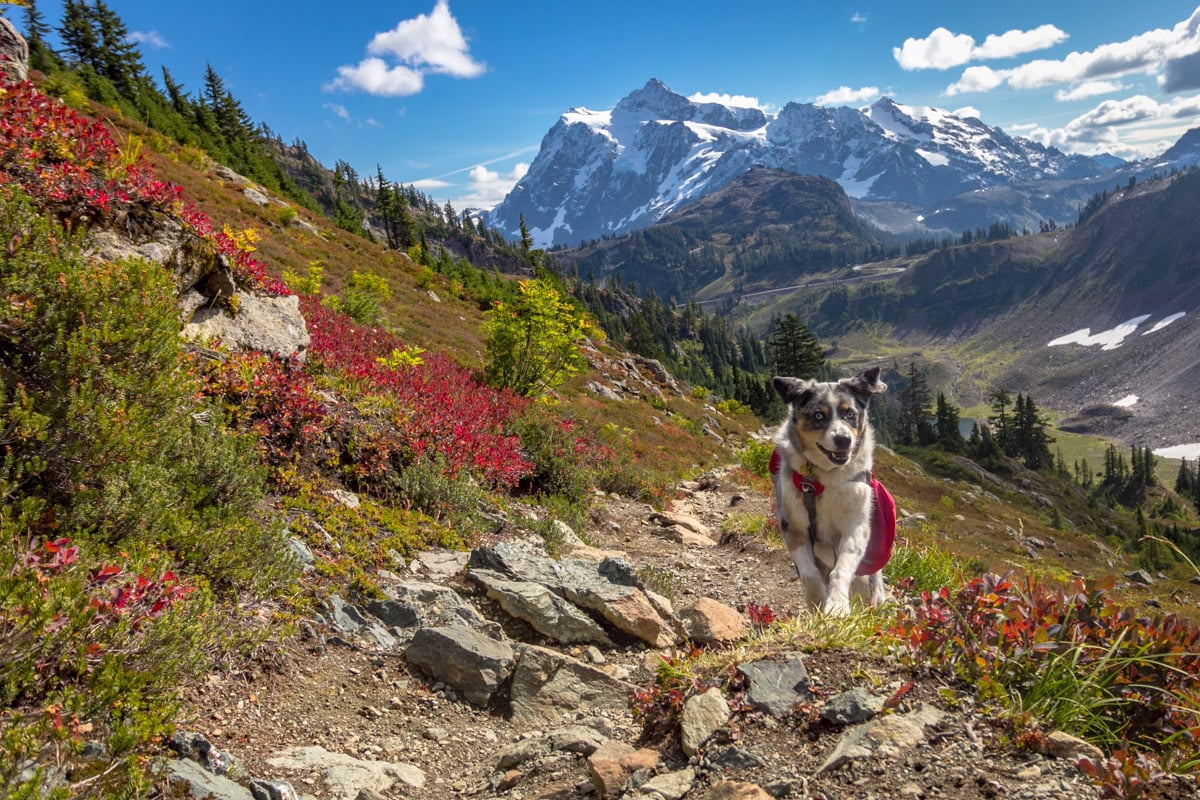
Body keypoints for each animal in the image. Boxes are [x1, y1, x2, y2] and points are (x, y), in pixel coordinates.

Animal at [768, 367, 892, 618]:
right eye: (818, 415)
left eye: (850, 414)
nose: (843, 439)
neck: (823, 477)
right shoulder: (794, 526)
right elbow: (809, 575)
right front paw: (817, 602)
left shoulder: (856, 525)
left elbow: (841, 568)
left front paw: (837, 605)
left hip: (869, 581)